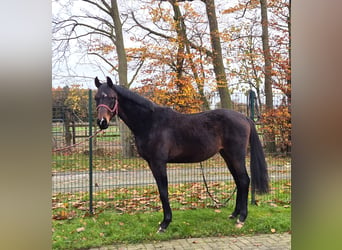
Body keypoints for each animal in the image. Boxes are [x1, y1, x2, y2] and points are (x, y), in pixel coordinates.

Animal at [95, 76, 268, 232]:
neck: (150, 122)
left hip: (236, 155)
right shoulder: (152, 163)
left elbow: (163, 192)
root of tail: (244, 117)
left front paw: (165, 223)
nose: (102, 122)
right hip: (227, 156)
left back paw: (242, 218)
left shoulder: (158, 163)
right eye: (96, 98)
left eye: (112, 98)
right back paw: (234, 214)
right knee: (238, 181)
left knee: (244, 180)